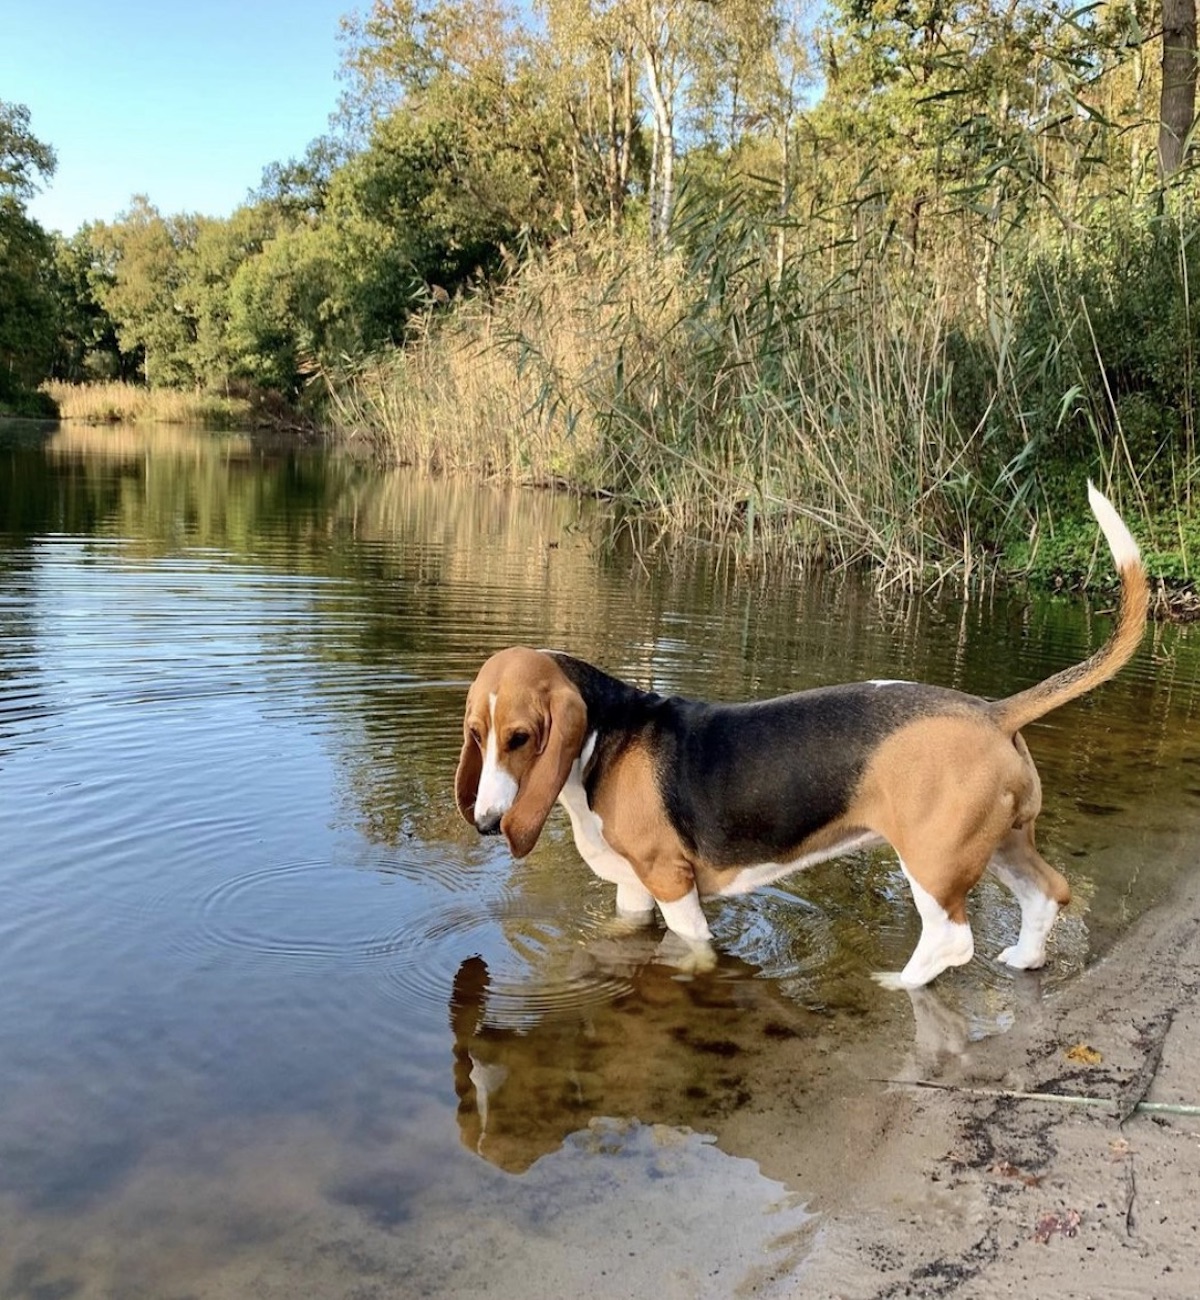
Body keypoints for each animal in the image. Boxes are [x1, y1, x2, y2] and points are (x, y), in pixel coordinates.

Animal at [455, 486, 1149, 982]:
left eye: (521, 737)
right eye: (477, 735)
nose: (485, 824)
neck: (606, 734)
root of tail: (993, 711)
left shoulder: (672, 882)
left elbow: (694, 945)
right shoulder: (632, 889)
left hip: (932, 860)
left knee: (952, 940)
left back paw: (897, 983)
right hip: (1000, 841)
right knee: (1048, 895)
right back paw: (1026, 960)